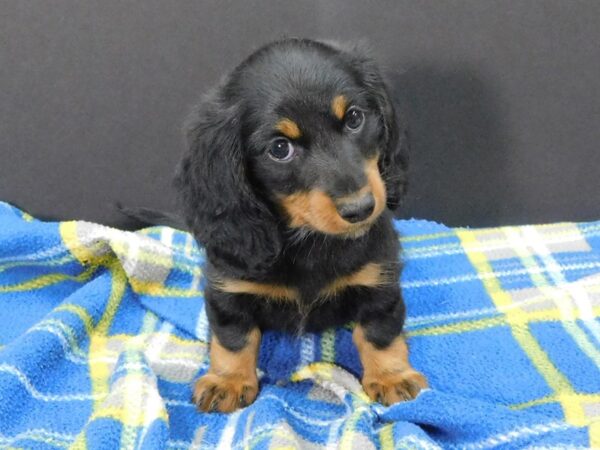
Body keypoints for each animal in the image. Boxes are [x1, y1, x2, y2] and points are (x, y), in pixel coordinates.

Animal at [173, 38, 426, 412]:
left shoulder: (380, 278)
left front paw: (392, 376)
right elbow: (234, 336)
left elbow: (379, 330)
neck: (311, 241)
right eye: (280, 148)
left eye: (354, 118)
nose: (361, 209)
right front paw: (228, 380)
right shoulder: (227, 288)